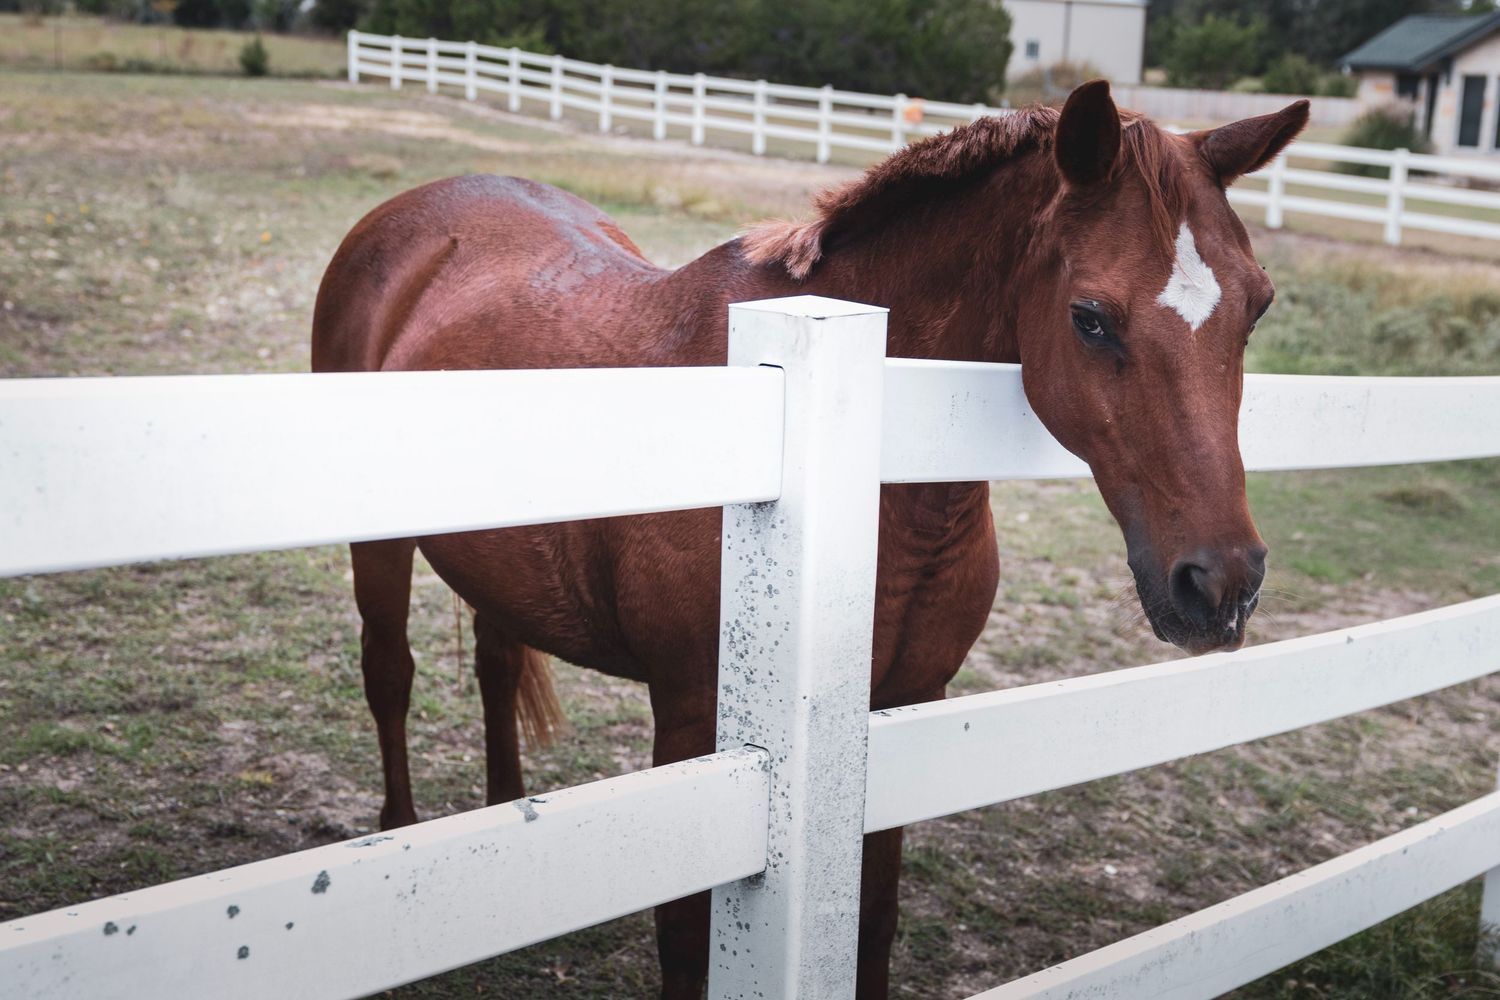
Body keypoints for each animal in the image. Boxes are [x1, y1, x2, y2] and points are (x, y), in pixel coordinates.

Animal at [311, 81, 1308, 999]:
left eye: (1257, 307)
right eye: (1090, 318)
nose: (1221, 584)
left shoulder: (902, 711)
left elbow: (874, 920)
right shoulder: (696, 725)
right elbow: (686, 940)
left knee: (495, 664)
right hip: (380, 552)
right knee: (390, 676)